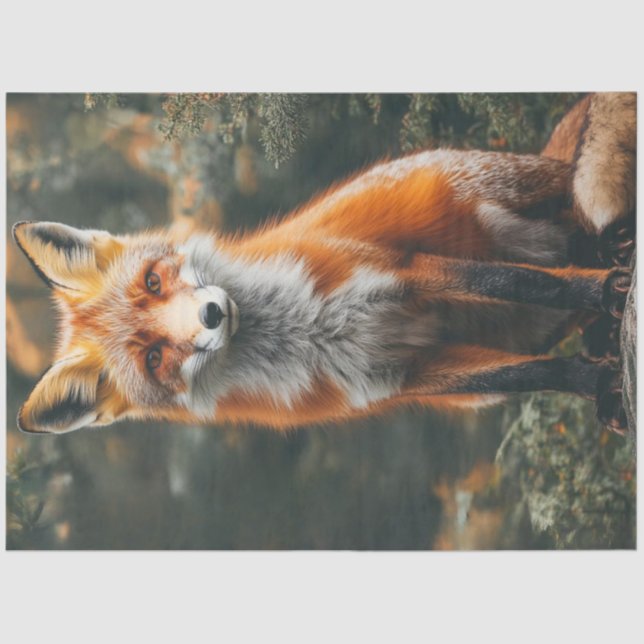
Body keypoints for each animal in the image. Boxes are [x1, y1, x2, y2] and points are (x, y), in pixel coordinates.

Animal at [12, 93, 636, 435]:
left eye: (153, 280)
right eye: (154, 358)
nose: (213, 315)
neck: (302, 330)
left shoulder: (404, 271)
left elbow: (529, 283)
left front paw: (606, 291)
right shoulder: (404, 374)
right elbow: (533, 374)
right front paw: (595, 378)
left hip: (502, 198)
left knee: (574, 212)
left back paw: (609, 257)